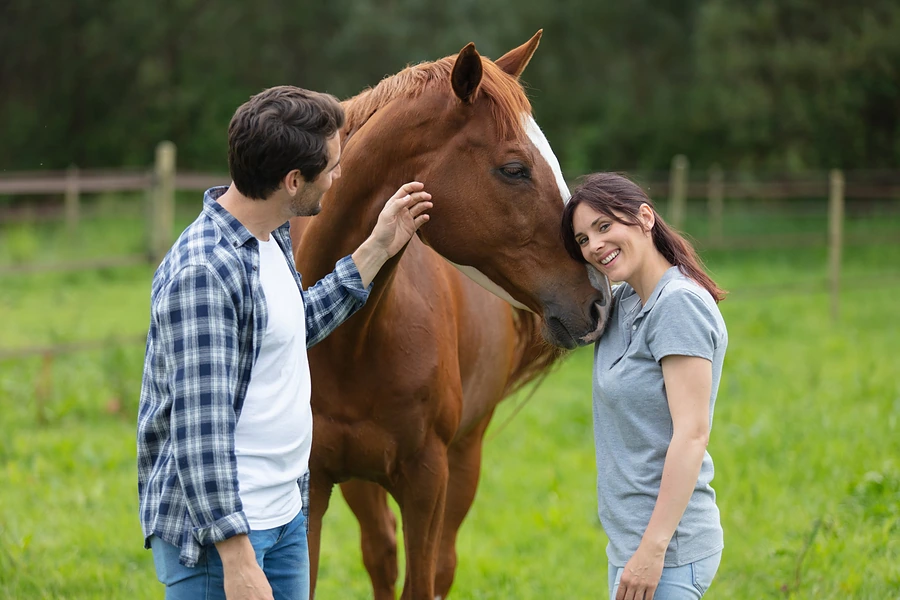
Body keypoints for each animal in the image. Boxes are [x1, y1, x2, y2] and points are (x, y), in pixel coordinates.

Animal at [290, 31, 611, 599]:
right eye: (514, 169)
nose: (597, 300)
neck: (348, 343)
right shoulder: (312, 486)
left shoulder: (427, 483)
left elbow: (423, 580)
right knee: (380, 552)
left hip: (464, 459)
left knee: (440, 565)